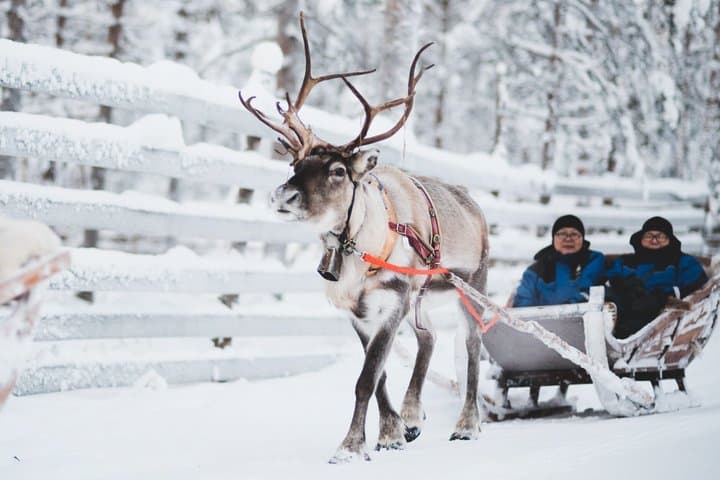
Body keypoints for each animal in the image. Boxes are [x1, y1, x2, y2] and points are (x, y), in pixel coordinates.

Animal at [239, 13, 489, 463]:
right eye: (296, 164)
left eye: (338, 171)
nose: (282, 196)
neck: (358, 252)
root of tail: (473, 203)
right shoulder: (356, 313)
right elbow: (382, 375)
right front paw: (394, 431)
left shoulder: (392, 304)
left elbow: (366, 378)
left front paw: (350, 446)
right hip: (422, 297)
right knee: (429, 338)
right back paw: (414, 414)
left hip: (470, 287)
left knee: (472, 347)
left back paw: (466, 425)